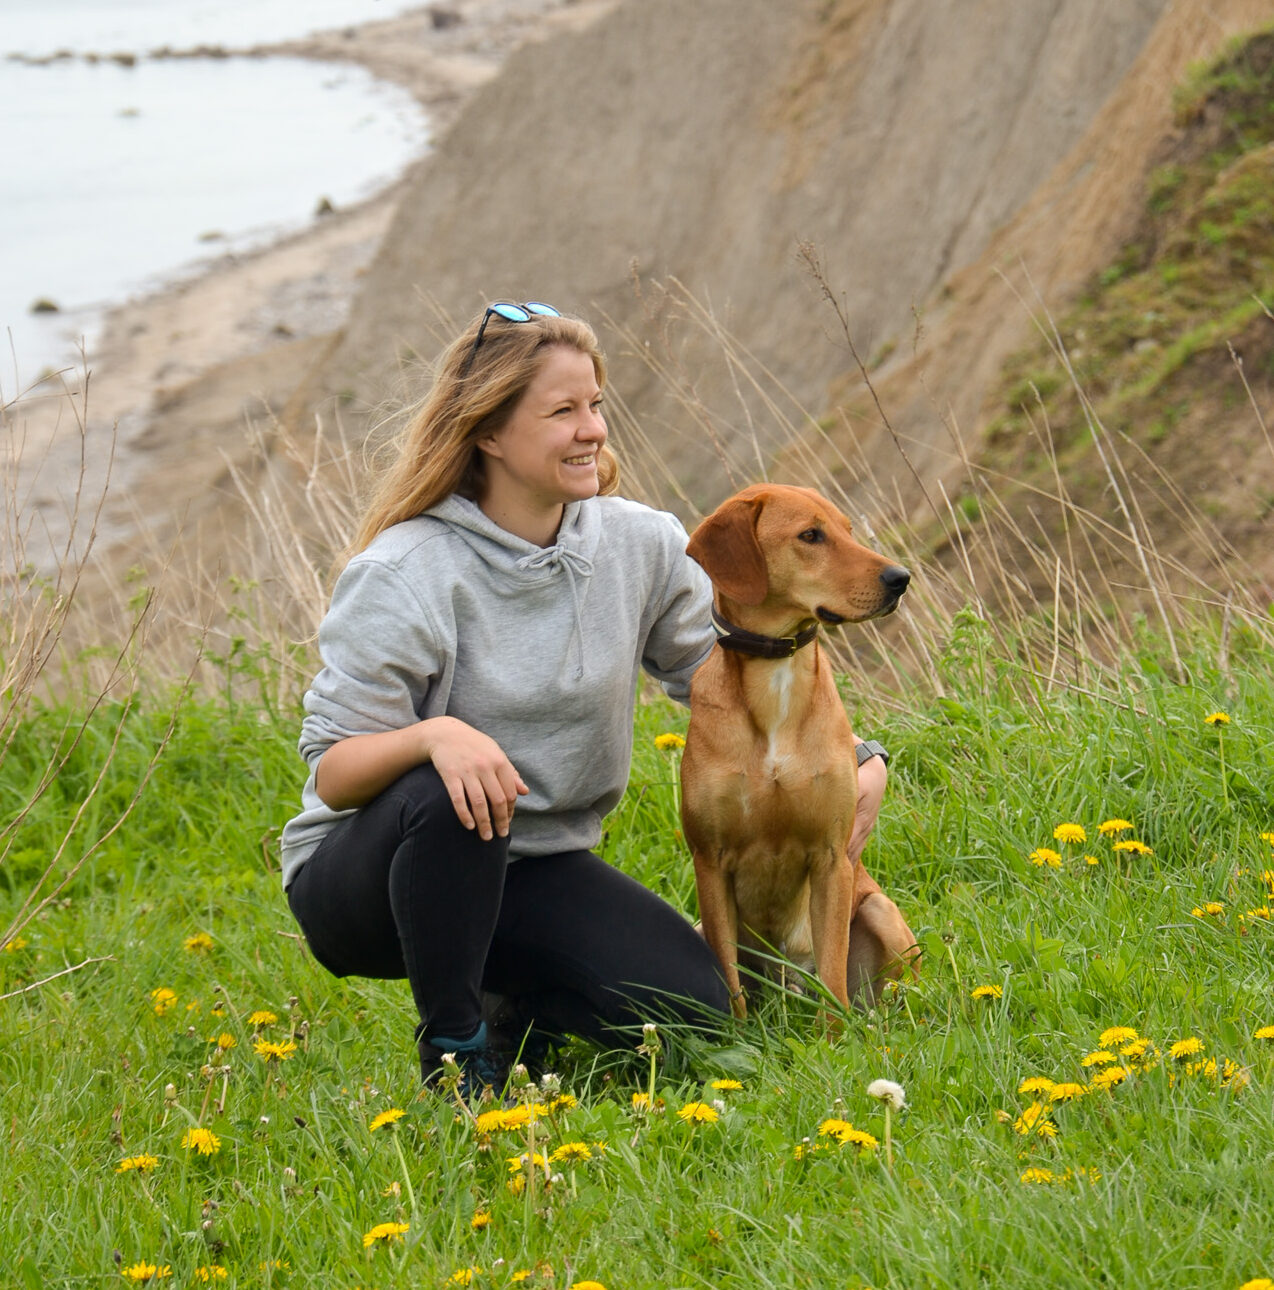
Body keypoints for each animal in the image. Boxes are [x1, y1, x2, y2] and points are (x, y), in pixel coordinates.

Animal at [680, 485, 918, 1016]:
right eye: (811, 535)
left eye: (849, 529)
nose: (901, 578)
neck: (777, 676)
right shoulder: (710, 863)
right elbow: (729, 982)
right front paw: (738, 1033)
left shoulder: (832, 859)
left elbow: (833, 978)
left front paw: (835, 1036)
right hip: (702, 924)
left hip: (879, 911)